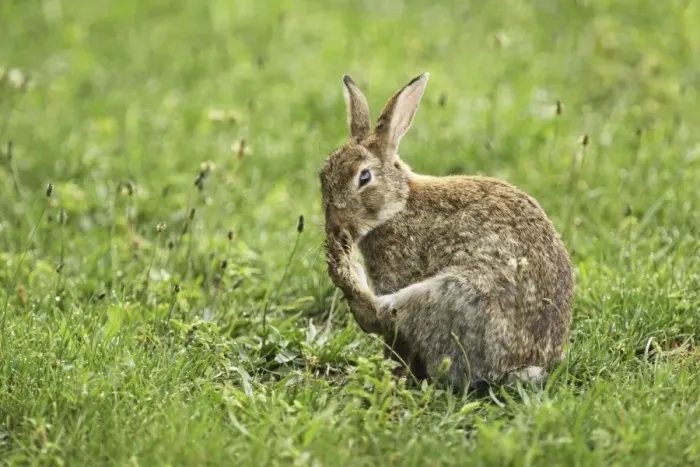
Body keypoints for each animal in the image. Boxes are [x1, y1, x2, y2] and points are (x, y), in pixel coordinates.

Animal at [320, 72, 575, 390]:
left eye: (364, 177)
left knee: (381, 315)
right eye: (322, 175)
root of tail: (521, 365)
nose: (335, 225)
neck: (400, 203)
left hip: (451, 293)